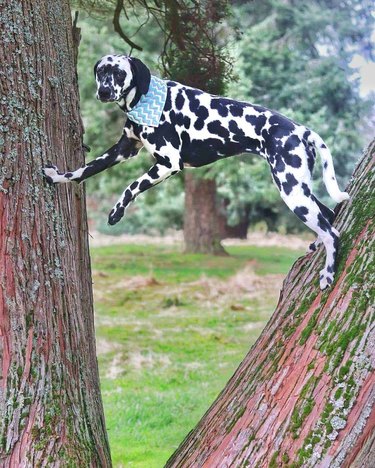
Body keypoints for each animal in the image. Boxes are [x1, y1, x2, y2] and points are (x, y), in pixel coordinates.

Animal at [42, 54, 352, 288]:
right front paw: (57, 176)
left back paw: (328, 272)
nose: (104, 92)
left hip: (292, 191)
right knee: (328, 214)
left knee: (332, 233)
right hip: (298, 189)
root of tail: (301, 130)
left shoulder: (168, 163)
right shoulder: (123, 150)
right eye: (101, 71)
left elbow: (131, 186)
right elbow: (83, 171)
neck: (145, 100)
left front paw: (117, 212)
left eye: (119, 73)